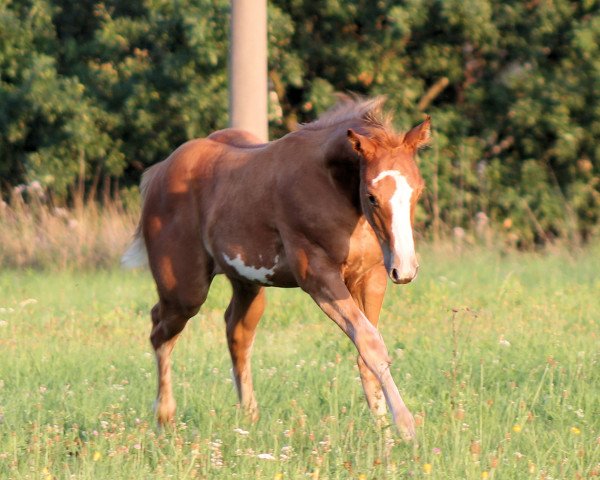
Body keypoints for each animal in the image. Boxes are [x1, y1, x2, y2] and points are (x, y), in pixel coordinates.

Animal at [123, 95, 432, 440]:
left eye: (418, 190)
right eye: (372, 196)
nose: (405, 269)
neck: (331, 185)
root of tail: (159, 172)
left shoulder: (372, 276)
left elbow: (368, 344)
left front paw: (382, 428)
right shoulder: (318, 275)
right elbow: (370, 342)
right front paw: (404, 425)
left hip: (248, 283)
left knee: (236, 331)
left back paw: (249, 416)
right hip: (185, 290)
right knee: (160, 330)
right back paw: (165, 417)